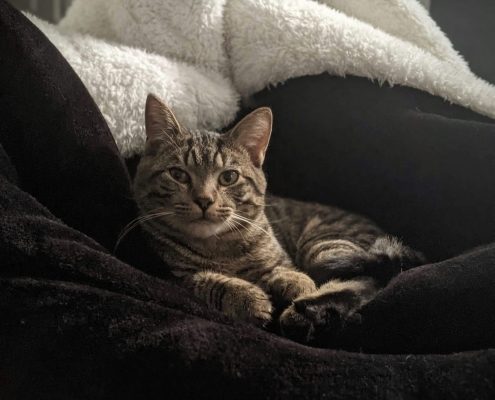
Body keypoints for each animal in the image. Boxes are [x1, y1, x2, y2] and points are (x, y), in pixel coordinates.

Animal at [134, 94, 424, 340]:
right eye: (178, 175)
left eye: (229, 177)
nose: (204, 200)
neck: (219, 246)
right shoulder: (171, 275)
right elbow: (206, 280)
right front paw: (247, 297)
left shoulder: (282, 256)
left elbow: (284, 268)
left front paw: (295, 282)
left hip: (325, 245)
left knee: (366, 280)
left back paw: (305, 311)